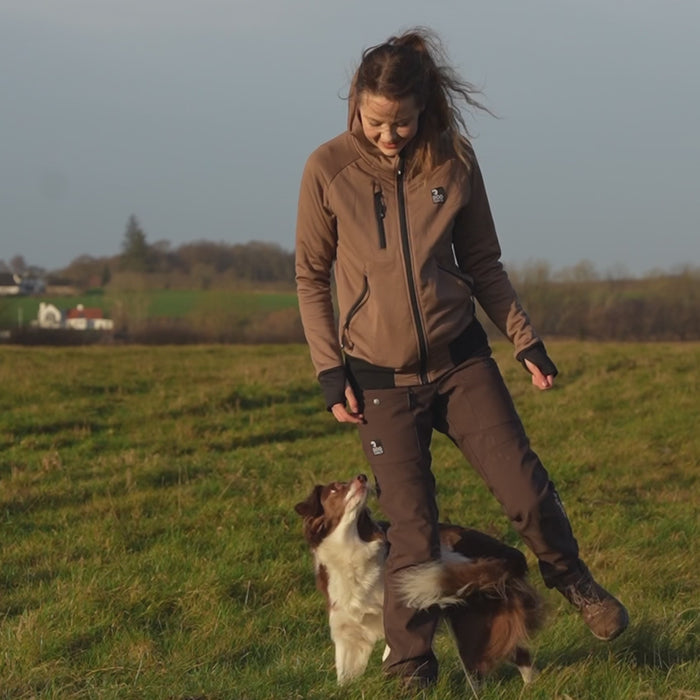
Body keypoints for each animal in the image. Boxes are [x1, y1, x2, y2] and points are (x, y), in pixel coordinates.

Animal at [292, 474, 544, 688]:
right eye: (335, 488)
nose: (362, 476)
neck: (352, 551)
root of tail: (509, 552)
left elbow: (393, 650)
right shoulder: (348, 635)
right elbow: (345, 678)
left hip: (471, 625)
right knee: (516, 656)